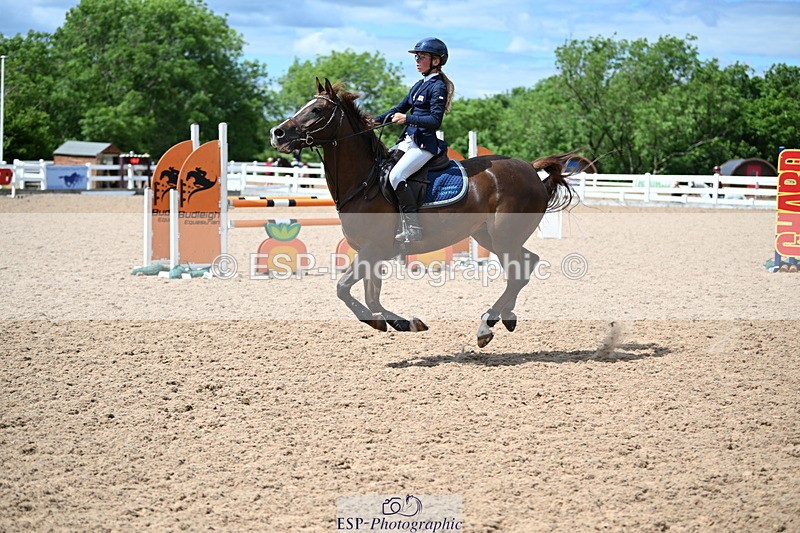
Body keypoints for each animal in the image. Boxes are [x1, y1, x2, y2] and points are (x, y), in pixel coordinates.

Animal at [271, 78, 574, 347]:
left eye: (317, 110)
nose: (277, 133)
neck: (365, 182)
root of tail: (530, 170)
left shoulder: (372, 249)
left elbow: (343, 289)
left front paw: (384, 321)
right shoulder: (371, 254)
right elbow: (371, 297)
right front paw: (401, 322)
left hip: (504, 237)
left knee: (518, 273)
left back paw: (486, 325)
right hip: (490, 237)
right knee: (525, 265)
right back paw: (506, 316)